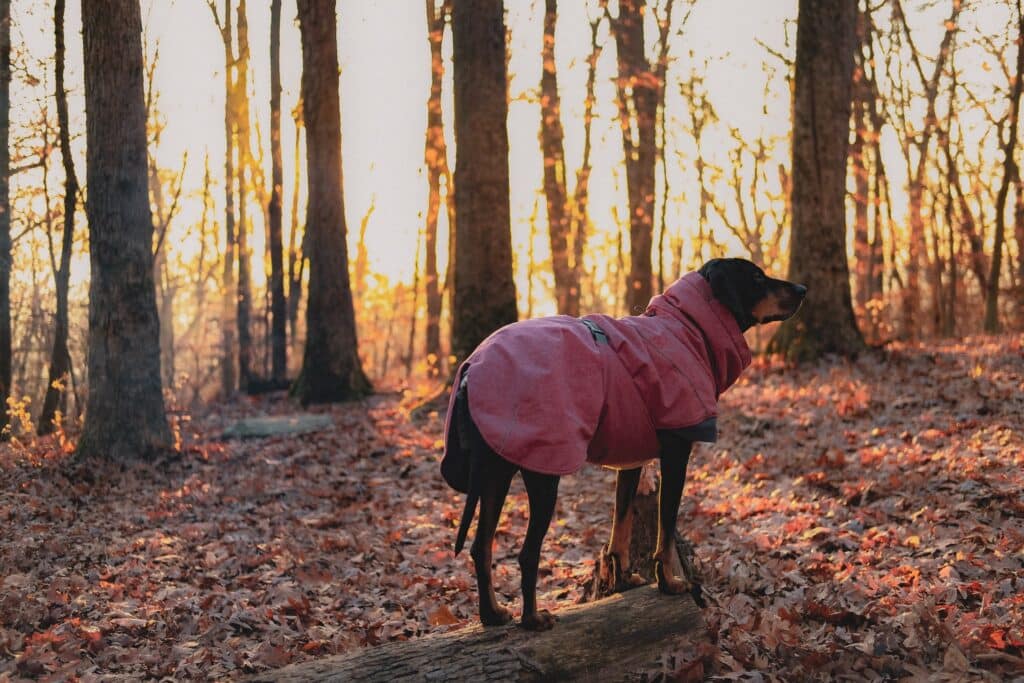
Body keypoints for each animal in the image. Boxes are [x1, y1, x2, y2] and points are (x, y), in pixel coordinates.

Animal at [440, 260, 806, 630]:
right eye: (757, 277)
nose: (802, 289)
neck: (688, 329)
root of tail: (472, 370)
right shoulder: (676, 454)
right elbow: (666, 529)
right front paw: (669, 581)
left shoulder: (631, 461)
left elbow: (621, 527)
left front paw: (624, 578)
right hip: (543, 469)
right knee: (527, 552)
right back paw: (532, 618)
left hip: (495, 469)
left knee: (480, 546)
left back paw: (491, 614)